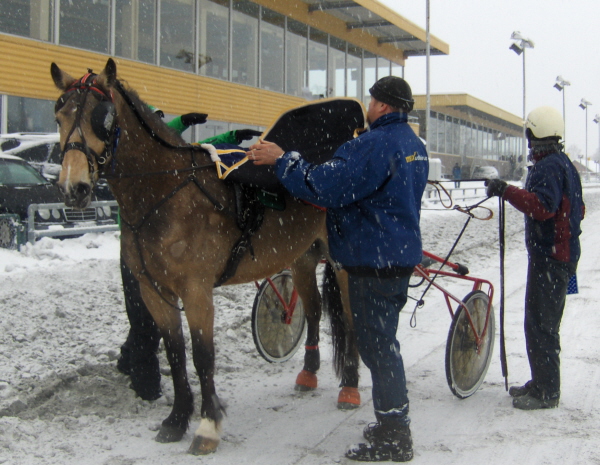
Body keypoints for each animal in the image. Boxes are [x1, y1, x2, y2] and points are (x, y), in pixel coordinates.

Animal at [49, 57, 358, 454]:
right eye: (59, 116)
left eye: (103, 117)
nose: (73, 188)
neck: (165, 191)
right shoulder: (155, 291)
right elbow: (176, 352)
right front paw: (177, 419)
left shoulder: (196, 291)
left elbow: (202, 356)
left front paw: (207, 426)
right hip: (303, 256)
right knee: (316, 309)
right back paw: (309, 372)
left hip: (343, 262)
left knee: (350, 318)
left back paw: (350, 385)